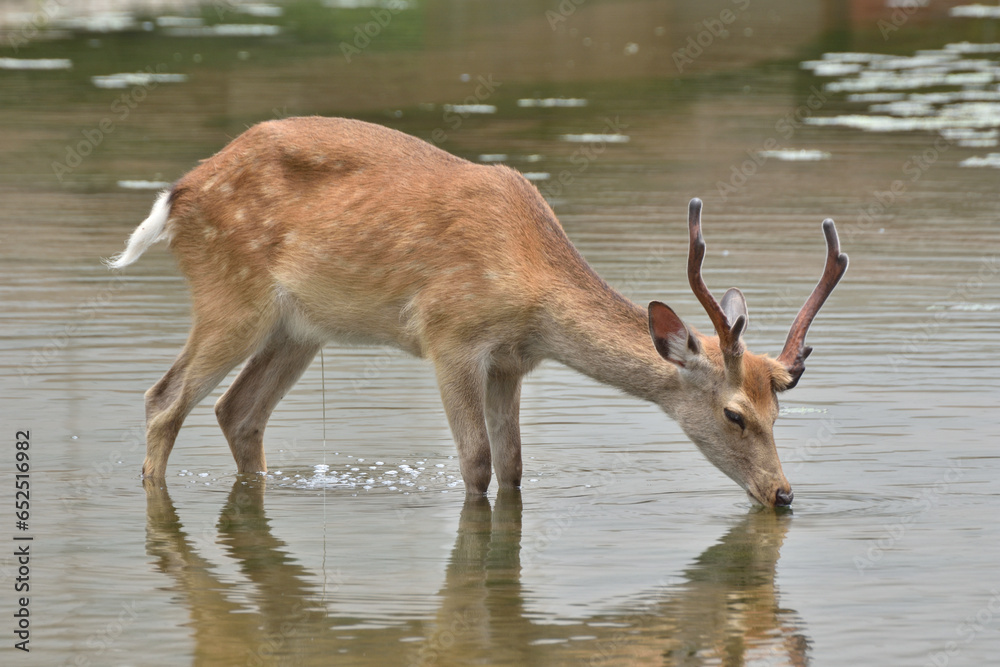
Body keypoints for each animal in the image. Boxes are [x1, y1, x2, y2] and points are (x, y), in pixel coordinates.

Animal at [108, 116, 847, 507]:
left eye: (778, 412)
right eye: (735, 413)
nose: (783, 494)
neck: (530, 279)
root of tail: (176, 197)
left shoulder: (512, 362)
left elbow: (515, 464)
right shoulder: (450, 335)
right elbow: (476, 461)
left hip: (300, 329)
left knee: (238, 410)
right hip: (231, 297)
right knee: (162, 396)